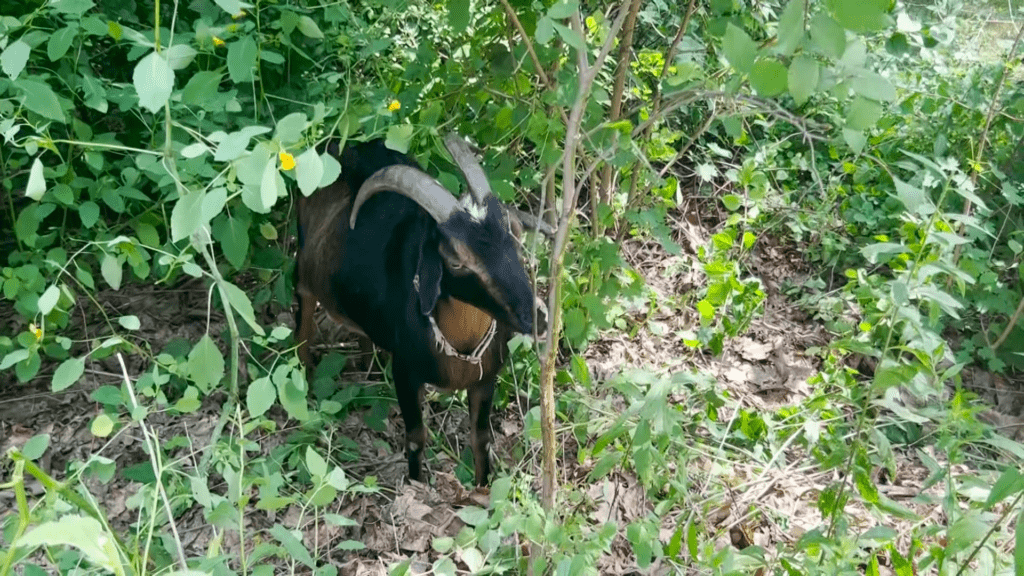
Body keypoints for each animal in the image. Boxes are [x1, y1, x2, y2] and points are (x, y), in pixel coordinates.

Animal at [294, 135, 547, 486]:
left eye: (514, 235)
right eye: (455, 260)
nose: (537, 317)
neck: (460, 343)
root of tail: (337, 146)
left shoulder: (485, 378)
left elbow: (481, 439)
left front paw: (483, 489)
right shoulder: (406, 373)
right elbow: (416, 438)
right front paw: (417, 484)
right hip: (303, 269)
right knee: (302, 315)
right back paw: (304, 373)